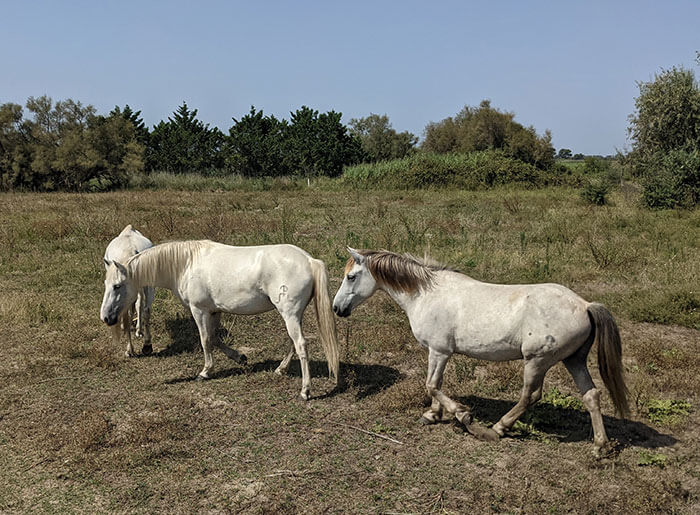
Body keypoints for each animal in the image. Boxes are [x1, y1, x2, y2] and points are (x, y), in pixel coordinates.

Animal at [100, 240, 340, 402]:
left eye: (117, 286)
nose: (106, 317)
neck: (186, 264)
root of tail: (309, 260)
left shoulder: (199, 311)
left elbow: (205, 340)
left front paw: (205, 372)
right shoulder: (215, 311)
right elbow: (215, 339)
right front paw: (240, 357)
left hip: (289, 314)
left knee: (300, 345)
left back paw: (305, 391)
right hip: (291, 315)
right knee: (293, 343)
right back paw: (280, 369)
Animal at [101, 224, 154, 356]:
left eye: (116, 286)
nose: (105, 318)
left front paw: (131, 349)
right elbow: (142, 310)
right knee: (141, 306)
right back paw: (140, 331)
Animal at [334, 250, 628, 456]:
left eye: (351, 276)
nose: (337, 308)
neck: (426, 295)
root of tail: (585, 305)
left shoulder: (439, 351)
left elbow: (432, 385)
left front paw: (463, 415)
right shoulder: (437, 353)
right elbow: (436, 384)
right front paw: (432, 415)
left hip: (537, 361)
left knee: (530, 396)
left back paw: (498, 428)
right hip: (573, 360)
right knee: (591, 395)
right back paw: (600, 447)